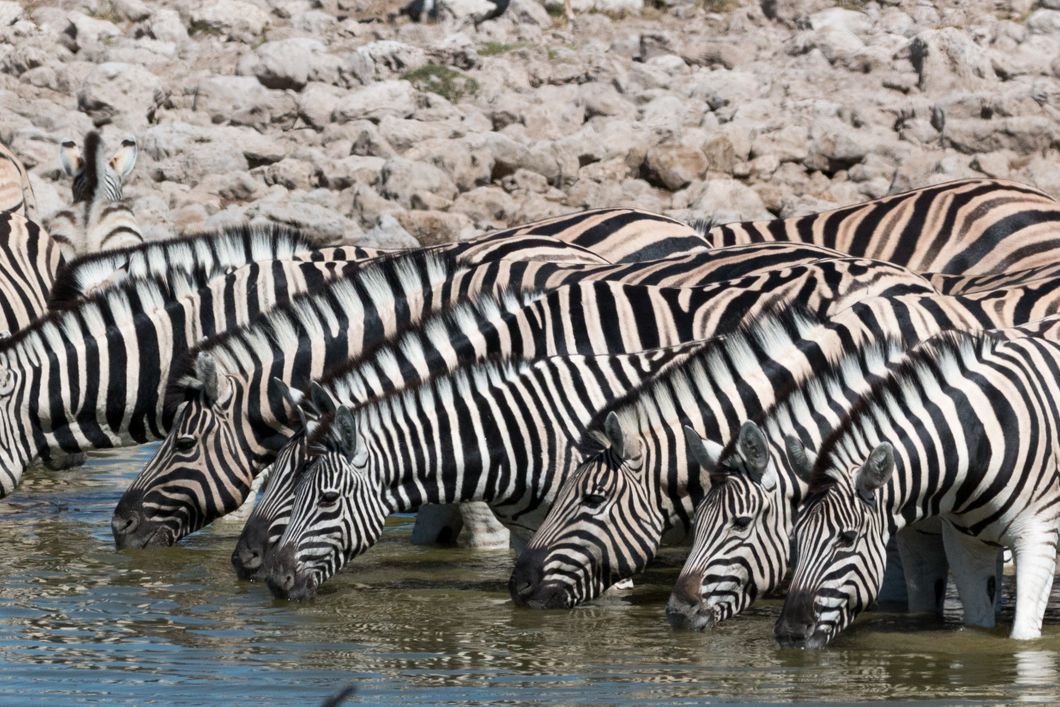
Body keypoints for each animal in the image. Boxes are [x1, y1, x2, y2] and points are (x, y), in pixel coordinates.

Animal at [774, 329, 1060, 646]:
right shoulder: (966, 545)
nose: (790, 634)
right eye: (796, 536)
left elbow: (1023, 636)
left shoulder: (1037, 537)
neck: (981, 440)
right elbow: (977, 623)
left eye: (847, 539)